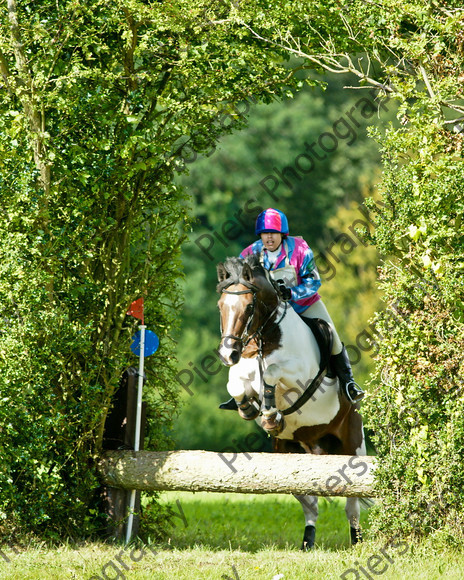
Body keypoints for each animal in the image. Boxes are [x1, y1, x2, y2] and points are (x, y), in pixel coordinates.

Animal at [217, 254, 366, 548]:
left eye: (248, 307)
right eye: (220, 306)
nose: (228, 354)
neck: (265, 337)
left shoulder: (300, 377)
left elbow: (272, 374)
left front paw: (269, 413)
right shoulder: (242, 372)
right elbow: (235, 384)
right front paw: (250, 409)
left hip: (352, 446)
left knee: (352, 504)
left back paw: (357, 541)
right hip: (291, 454)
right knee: (310, 504)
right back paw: (308, 542)